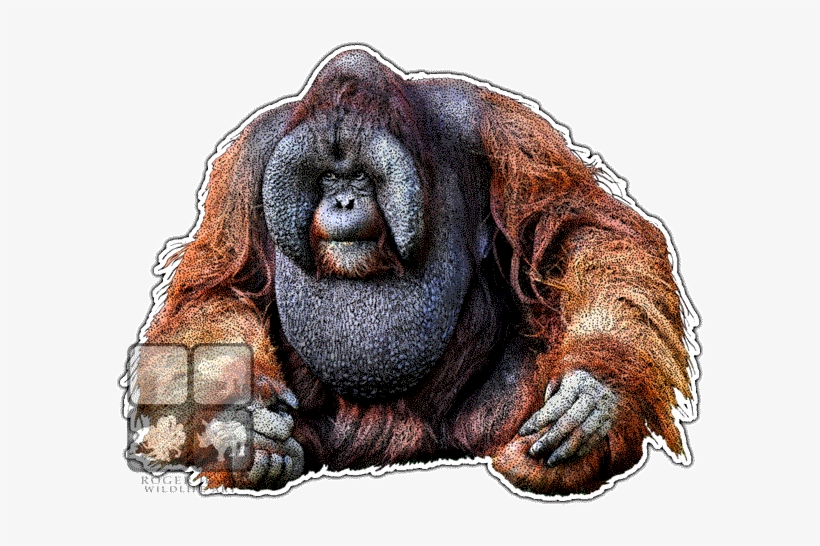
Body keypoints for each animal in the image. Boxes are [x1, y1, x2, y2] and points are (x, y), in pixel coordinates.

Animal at [124, 45, 699, 498]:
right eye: (327, 177)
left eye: (359, 176)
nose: (343, 200)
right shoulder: (249, 160)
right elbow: (222, 288)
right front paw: (244, 423)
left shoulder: (492, 124)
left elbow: (575, 231)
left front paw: (590, 396)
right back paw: (258, 455)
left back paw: (544, 462)